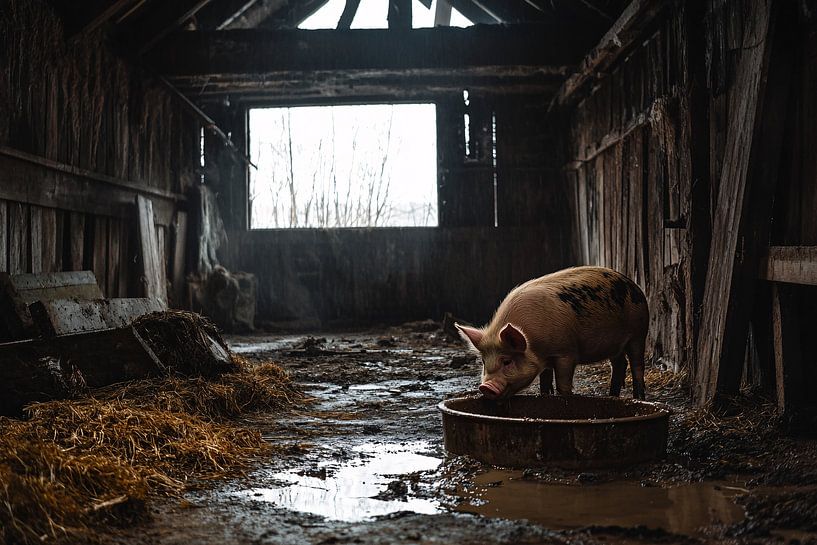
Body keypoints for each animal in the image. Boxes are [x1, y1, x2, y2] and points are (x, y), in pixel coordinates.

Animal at [455, 266, 648, 400]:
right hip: (615, 345)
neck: (536, 347)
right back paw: (612, 396)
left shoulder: (566, 352)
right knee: (620, 364)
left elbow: (562, 383)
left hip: (639, 333)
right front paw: (545, 395)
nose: (485, 387)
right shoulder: (545, 360)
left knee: (637, 365)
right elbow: (545, 381)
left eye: (507, 361)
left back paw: (638, 397)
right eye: (483, 362)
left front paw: (564, 397)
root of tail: (633, 284)